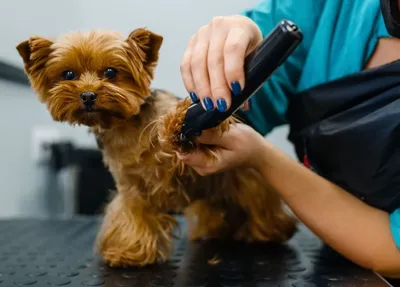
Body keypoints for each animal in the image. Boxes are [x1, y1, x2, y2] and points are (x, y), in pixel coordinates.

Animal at [15, 28, 296, 268]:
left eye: (110, 72)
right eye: (68, 75)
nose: (88, 95)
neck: (126, 126)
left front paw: (176, 123)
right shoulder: (132, 188)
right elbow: (133, 216)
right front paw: (130, 252)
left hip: (247, 181)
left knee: (260, 205)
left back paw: (270, 231)